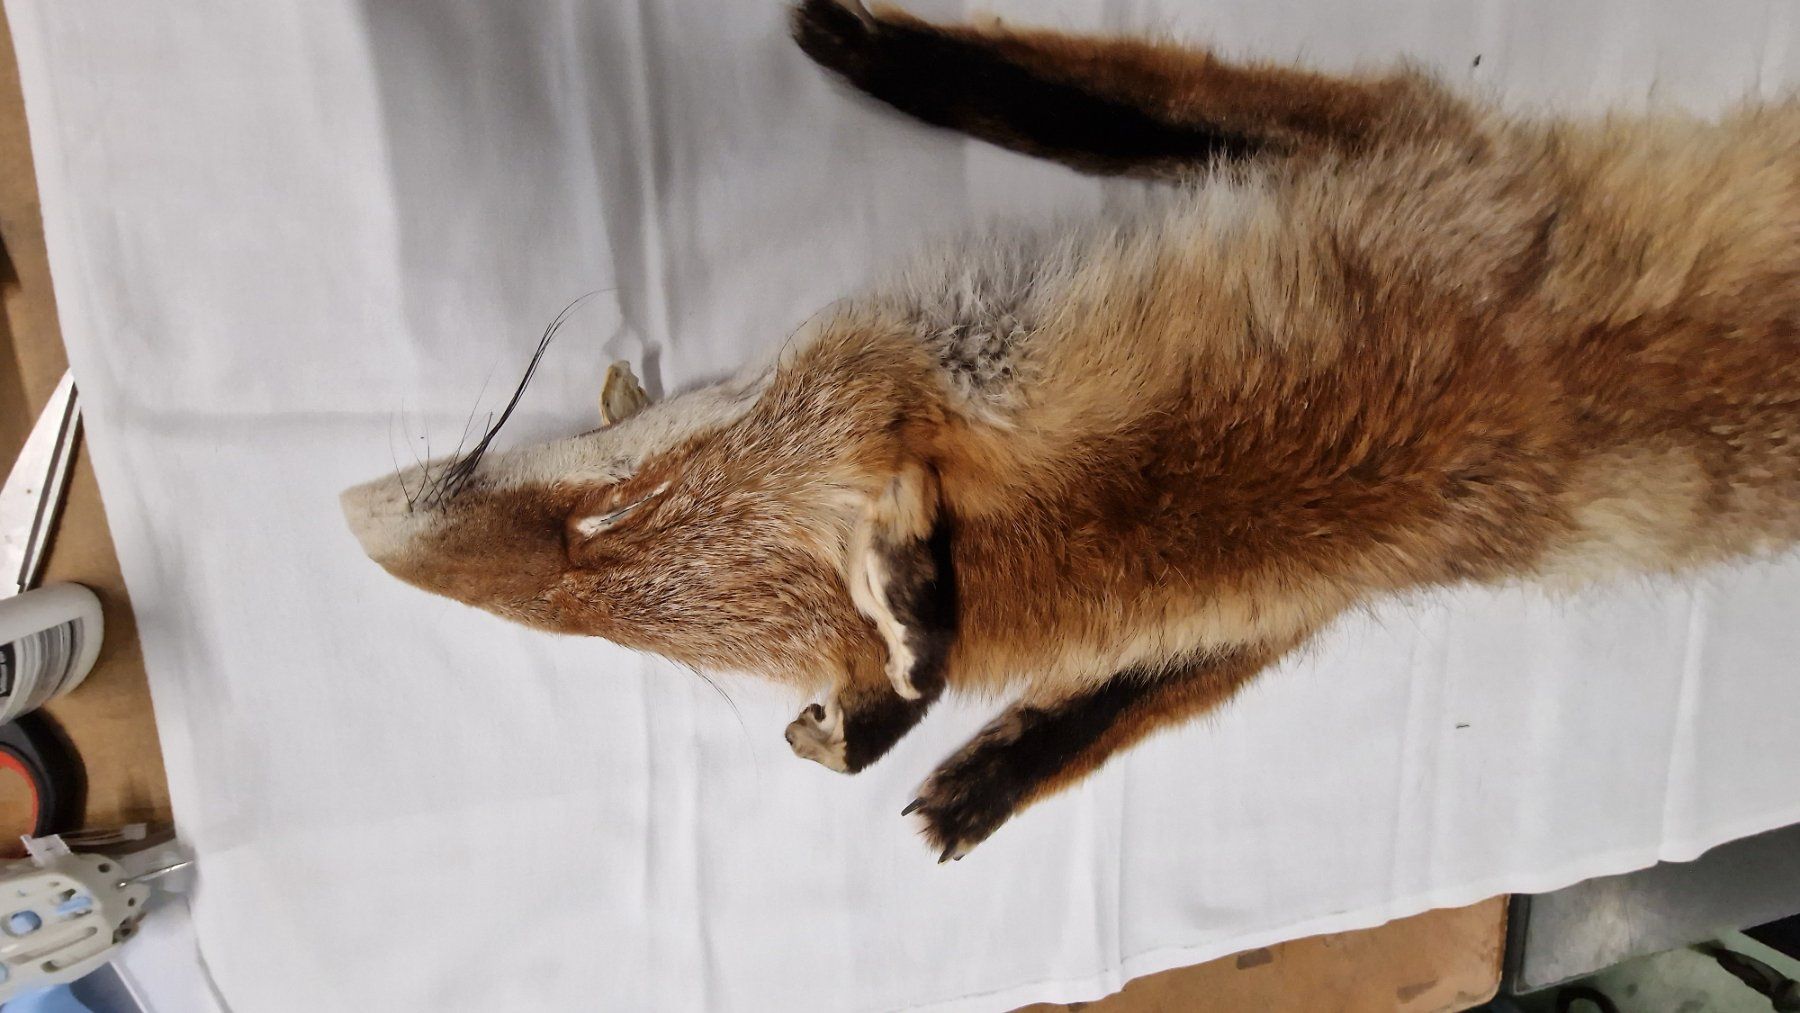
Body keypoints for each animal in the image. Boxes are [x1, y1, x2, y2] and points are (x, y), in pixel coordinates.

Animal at [341, 0, 1800, 861]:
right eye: (620, 628)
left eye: (612, 511)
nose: (353, 527)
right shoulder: (1357, 573)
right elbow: (1156, 680)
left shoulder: (1416, 142)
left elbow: (1098, 92)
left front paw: (900, 56)